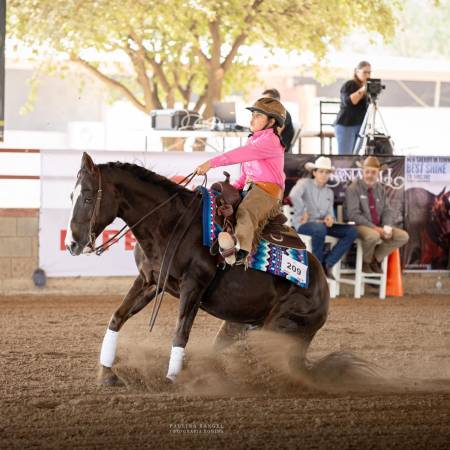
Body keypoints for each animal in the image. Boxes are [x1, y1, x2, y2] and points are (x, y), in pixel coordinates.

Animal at [65, 153, 328, 384]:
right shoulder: (149, 281)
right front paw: (107, 372)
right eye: (71, 196)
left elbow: (180, 333)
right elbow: (117, 318)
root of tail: (322, 289)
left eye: (88, 198)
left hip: (280, 327)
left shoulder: (193, 286)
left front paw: (172, 379)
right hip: (238, 324)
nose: (72, 244)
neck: (170, 223)